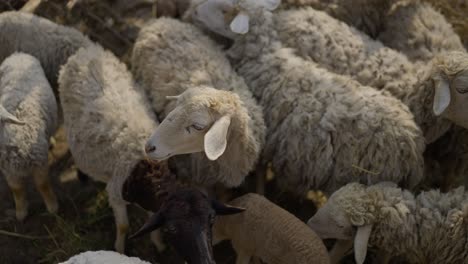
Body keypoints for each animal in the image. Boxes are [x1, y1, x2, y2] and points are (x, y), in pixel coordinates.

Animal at [0, 52, 58, 221]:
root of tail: (18, 55)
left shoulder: (39, 162)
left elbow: (42, 185)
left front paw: (52, 208)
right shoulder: (8, 171)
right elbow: (17, 190)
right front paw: (21, 213)